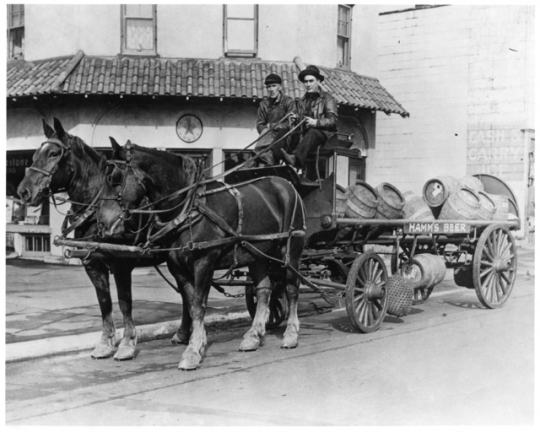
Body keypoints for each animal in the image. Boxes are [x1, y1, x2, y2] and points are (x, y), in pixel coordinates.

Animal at [17, 119, 196, 362]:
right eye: (35, 154)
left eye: (54, 153)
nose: (23, 192)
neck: (96, 208)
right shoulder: (92, 264)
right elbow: (105, 302)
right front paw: (105, 343)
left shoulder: (121, 264)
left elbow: (124, 302)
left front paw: (127, 344)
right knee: (186, 292)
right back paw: (183, 333)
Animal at [97, 140, 306, 370]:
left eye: (114, 178)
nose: (102, 224)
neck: (188, 207)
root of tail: (287, 185)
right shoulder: (177, 267)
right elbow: (190, 303)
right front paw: (198, 341)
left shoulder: (204, 261)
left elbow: (198, 306)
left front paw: (192, 352)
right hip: (257, 254)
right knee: (264, 290)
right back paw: (253, 336)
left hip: (291, 251)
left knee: (291, 288)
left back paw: (291, 334)